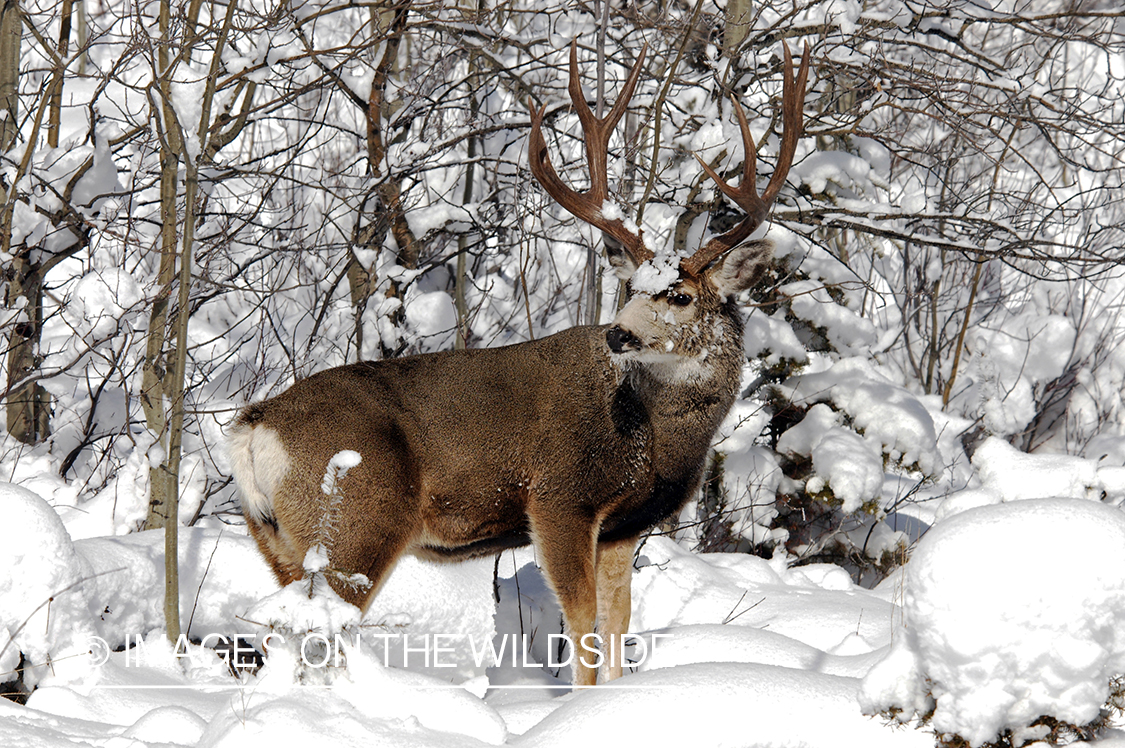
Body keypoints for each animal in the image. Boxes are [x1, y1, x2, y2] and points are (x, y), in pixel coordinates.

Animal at [228, 40, 810, 687]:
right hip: (353, 524)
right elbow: (581, 623)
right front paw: (582, 702)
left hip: (276, 539)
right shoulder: (559, 498)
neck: (654, 434)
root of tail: (254, 427)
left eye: (679, 296)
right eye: (631, 288)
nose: (618, 334)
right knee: (318, 632)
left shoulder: (622, 526)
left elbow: (617, 622)